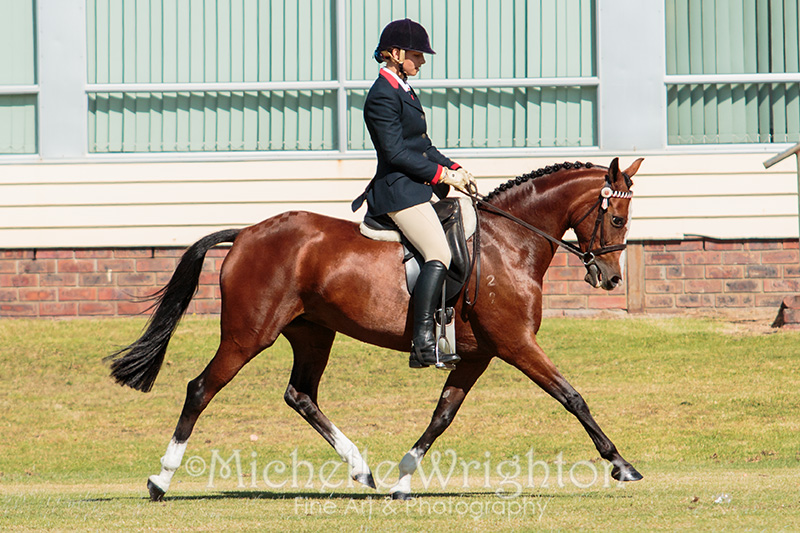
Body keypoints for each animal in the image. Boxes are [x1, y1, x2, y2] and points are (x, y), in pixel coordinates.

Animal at [106, 157, 644, 498]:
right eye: (617, 219)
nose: (611, 278)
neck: (509, 242)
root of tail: (247, 234)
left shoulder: (477, 354)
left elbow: (442, 415)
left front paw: (403, 479)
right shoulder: (516, 344)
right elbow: (572, 396)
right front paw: (621, 464)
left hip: (313, 333)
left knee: (301, 395)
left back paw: (362, 471)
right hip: (247, 335)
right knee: (201, 389)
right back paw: (161, 480)